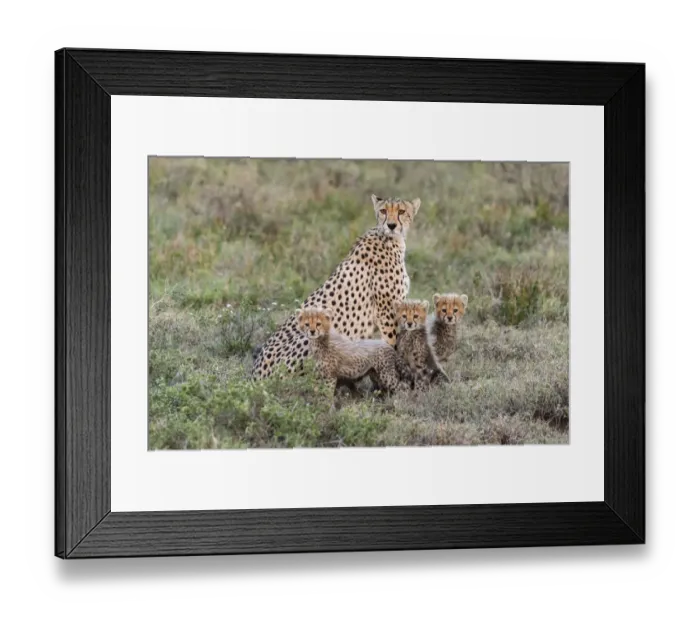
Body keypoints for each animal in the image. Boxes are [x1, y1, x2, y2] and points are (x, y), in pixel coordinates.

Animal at [251, 194, 421, 379]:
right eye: (383, 211)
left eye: (401, 211)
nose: (391, 225)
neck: (390, 239)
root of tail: (254, 376)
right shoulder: (387, 313)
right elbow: (392, 345)